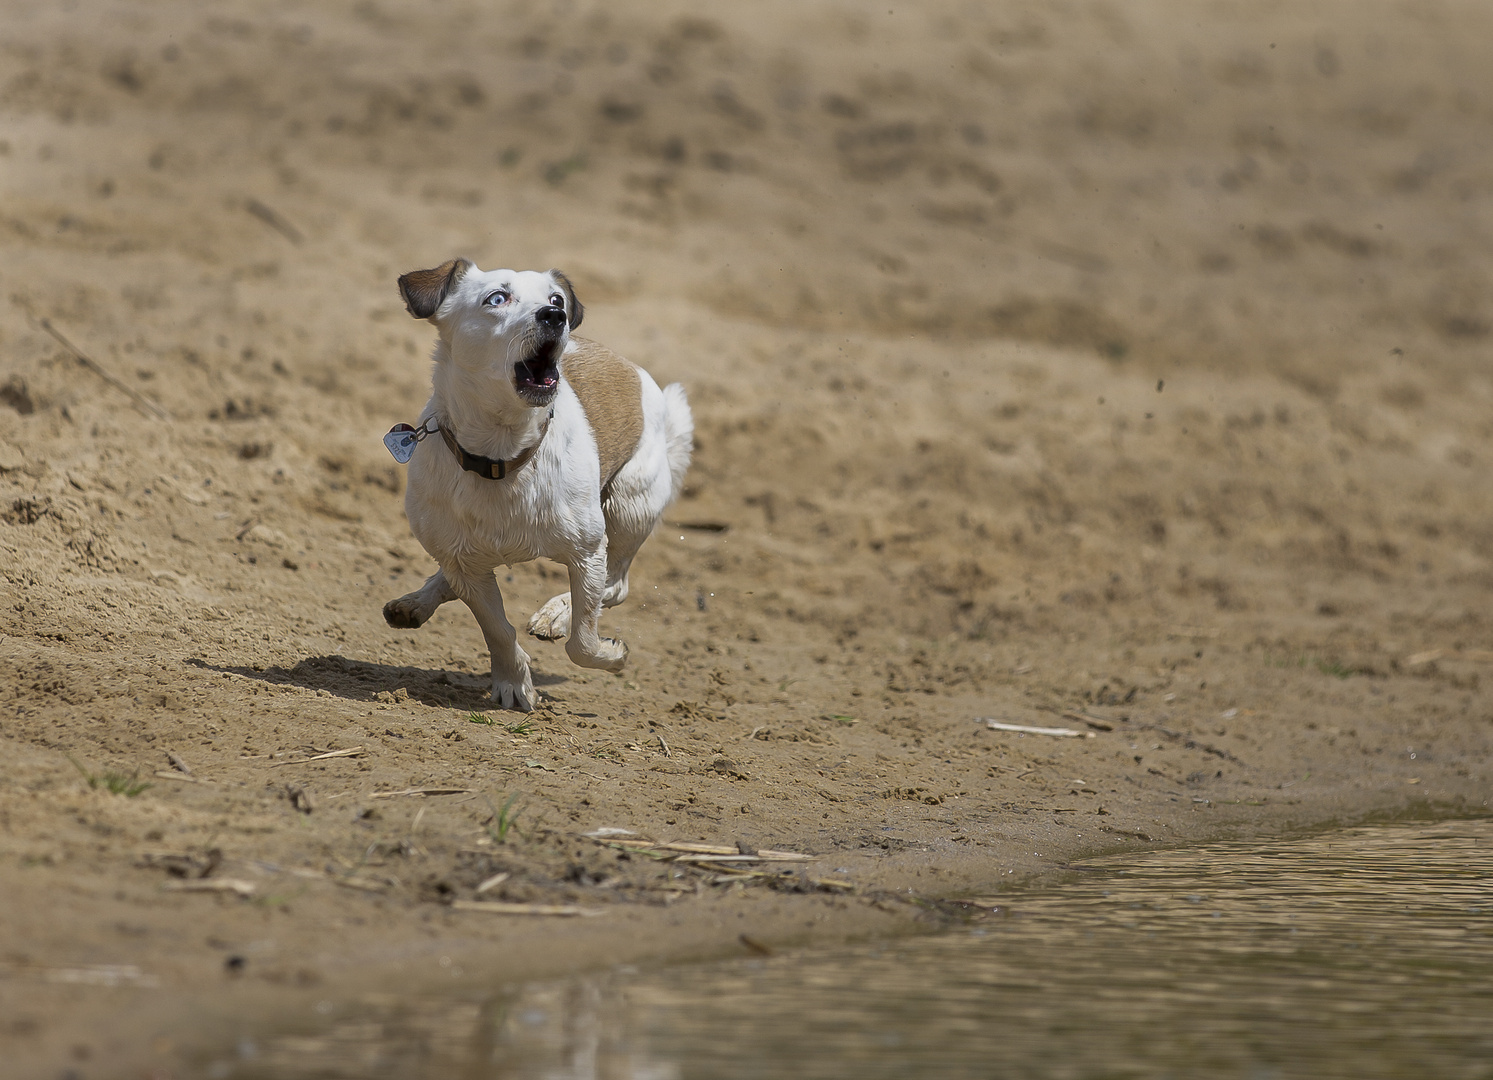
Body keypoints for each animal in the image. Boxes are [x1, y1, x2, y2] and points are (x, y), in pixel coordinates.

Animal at [382, 261, 689, 714]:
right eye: (496, 298)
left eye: (556, 298)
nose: (555, 315)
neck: (503, 455)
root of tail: (627, 363)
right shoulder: (466, 566)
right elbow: (496, 628)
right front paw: (513, 682)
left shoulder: (586, 552)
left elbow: (583, 640)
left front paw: (608, 652)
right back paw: (416, 603)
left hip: (629, 506)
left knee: (614, 585)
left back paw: (557, 614)